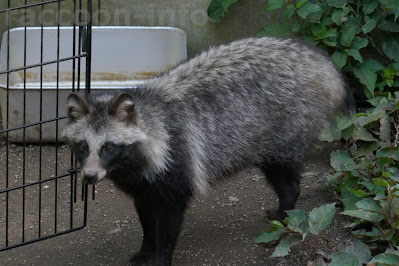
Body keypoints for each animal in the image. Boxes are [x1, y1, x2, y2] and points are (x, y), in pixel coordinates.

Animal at [61, 36, 354, 264]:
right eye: (83, 146)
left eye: (109, 146)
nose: (89, 177)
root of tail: (324, 63)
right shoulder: (142, 184)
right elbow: (146, 219)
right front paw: (145, 250)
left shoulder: (176, 168)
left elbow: (167, 226)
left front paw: (161, 257)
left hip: (286, 131)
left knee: (287, 181)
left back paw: (284, 218)